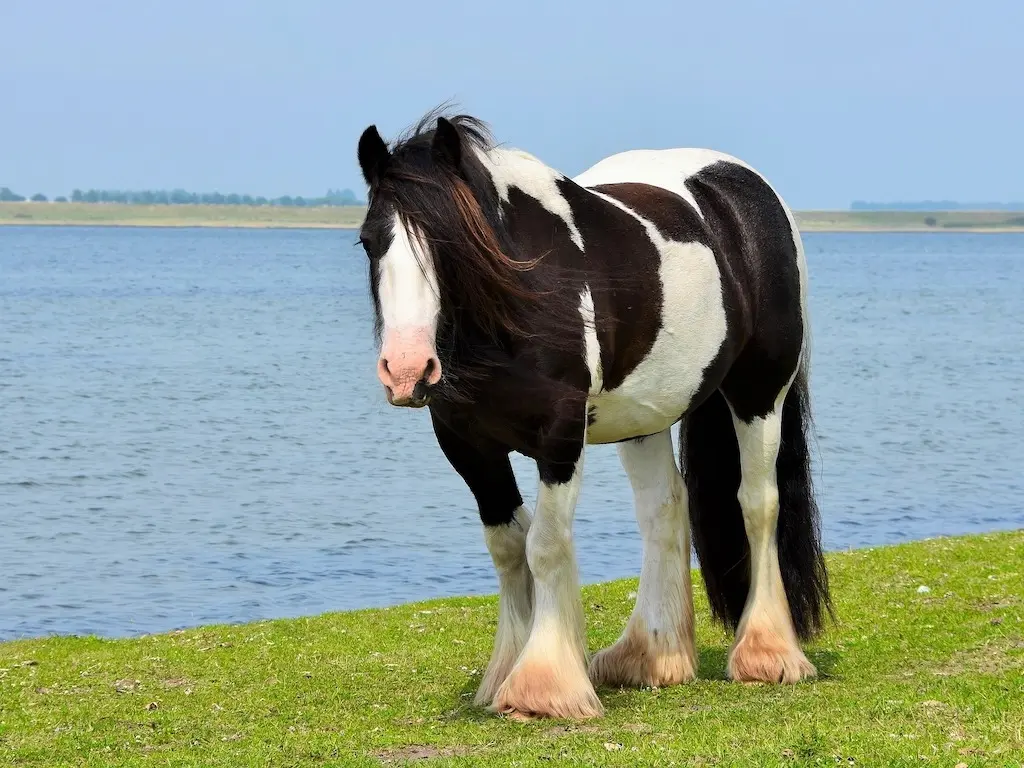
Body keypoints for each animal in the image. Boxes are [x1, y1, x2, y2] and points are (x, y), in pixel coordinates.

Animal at [356, 108, 827, 720]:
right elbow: (508, 547)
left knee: (757, 504)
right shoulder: (466, 444)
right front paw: (508, 671)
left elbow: (545, 545)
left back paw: (766, 653)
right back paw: (649, 656)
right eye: (368, 241)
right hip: (645, 417)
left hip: (759, 393)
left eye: (450, 241)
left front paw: (543, 685)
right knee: (664, 509)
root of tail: (746, 190)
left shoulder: (559, 436)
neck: (521, 296)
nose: (407, 369)